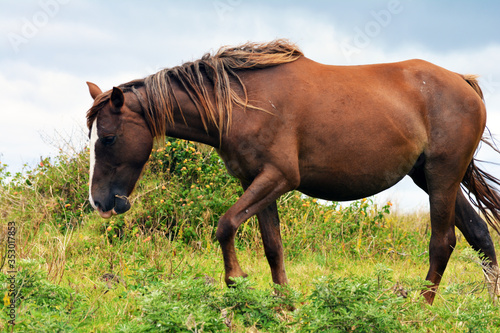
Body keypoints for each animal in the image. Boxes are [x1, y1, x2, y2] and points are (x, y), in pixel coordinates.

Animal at [86, 39, 500, 304]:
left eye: (108, 138)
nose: (100, 202)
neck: (241, 102)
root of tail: (464, 82)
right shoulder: (256, 182)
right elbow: (273, 248)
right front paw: (284, 308)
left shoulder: (279, 177)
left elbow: (225, 224)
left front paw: (236, 281)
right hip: (430, 177)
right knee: (479, 233)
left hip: (442, 175)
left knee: (443, 242)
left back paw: (419, 309)